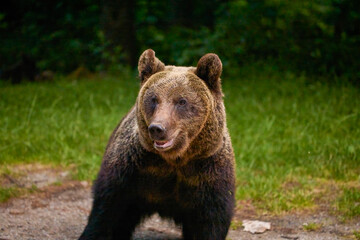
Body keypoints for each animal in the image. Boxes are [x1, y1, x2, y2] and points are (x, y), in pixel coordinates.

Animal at [79, 49, 236, 240]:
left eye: (181, 101)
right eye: (154, 99)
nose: (157, 128)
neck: (174, 159)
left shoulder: (207, 172)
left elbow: (211, 221)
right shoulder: (132, 168)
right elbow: (108, 209)